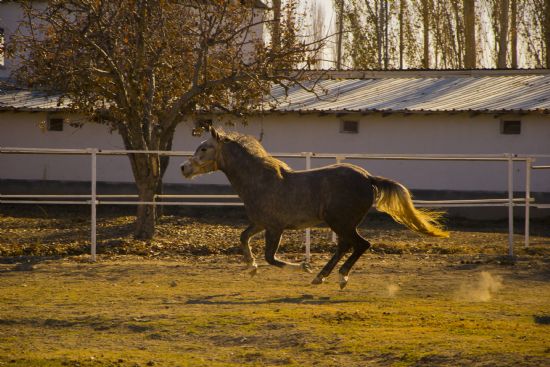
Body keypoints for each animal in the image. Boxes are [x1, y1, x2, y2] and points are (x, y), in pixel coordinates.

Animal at [181, 128, 448, 288]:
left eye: (203, 148)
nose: (184, 168)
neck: (260, 180)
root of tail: (367, 178)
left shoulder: (275, 228)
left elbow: (271, 257)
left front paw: (303, 266)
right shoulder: (259, 223)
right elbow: (243, 237)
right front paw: (252, 268)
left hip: (341, 222)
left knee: (360, 244)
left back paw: (337, 276)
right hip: (342, 224)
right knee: (346, 246)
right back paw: (323, 276)